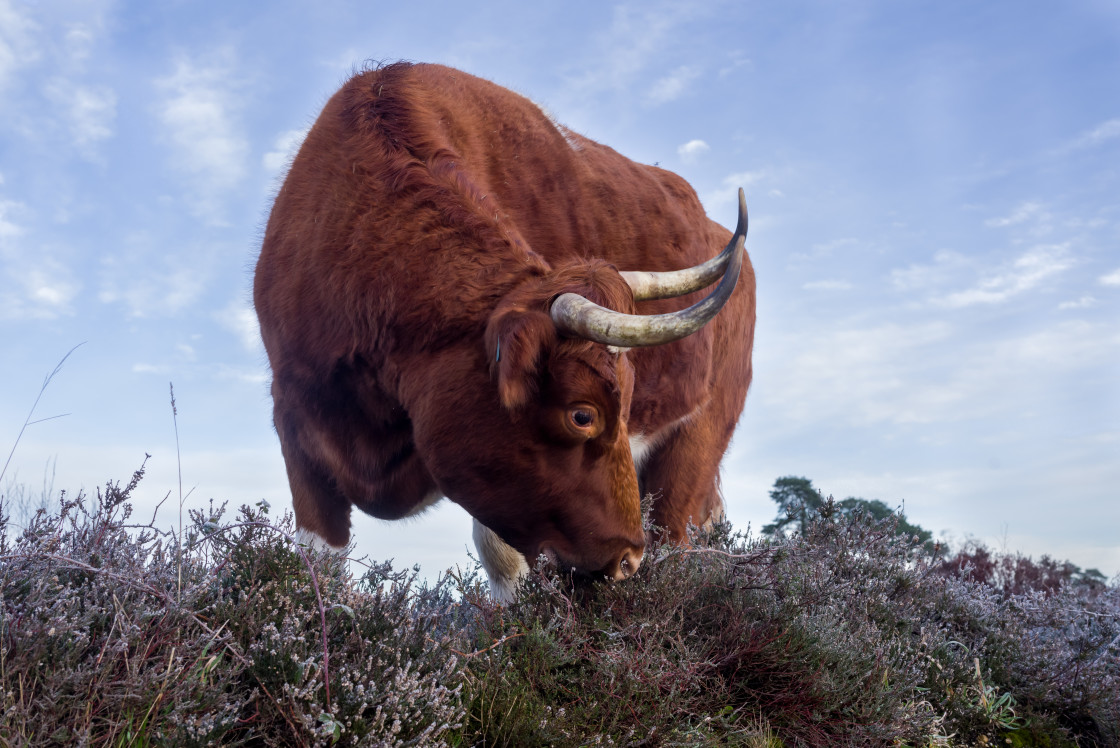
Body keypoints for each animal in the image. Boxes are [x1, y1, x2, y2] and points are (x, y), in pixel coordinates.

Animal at [256, 62, 752, 600]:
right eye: (582, 414)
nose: (628, 559)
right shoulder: (297, 423)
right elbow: (317, 567)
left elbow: (505, 565)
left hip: (696, 444)